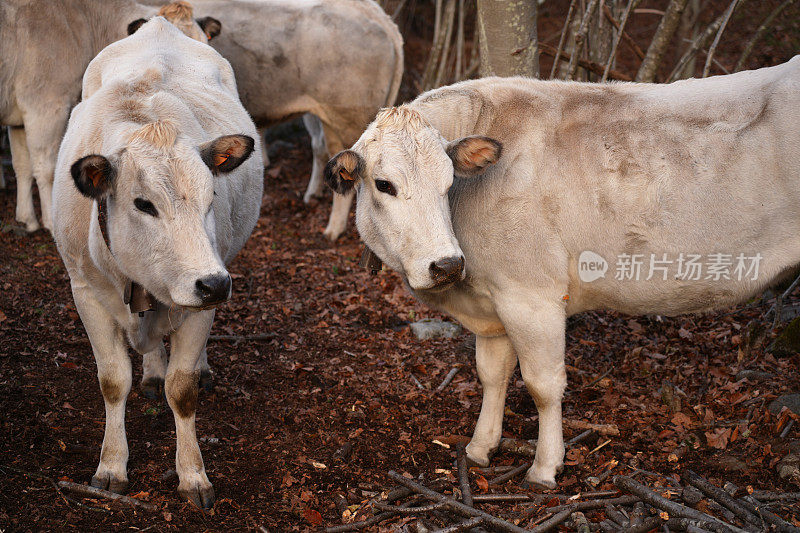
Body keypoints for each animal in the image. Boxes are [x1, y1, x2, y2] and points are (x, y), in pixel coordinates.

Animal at [53, 16, 260, 508]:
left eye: (212, 196)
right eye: (143, 204)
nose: (215, 284)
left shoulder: (200, 299)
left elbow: (181, 389)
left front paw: (193, 474)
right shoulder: (85, 292)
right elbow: (113, 380)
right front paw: (111, 466)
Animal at [324, 57, 800, 486]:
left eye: (448, 182)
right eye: (384, 184)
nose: (447, 264)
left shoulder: (531, 295)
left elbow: (542, 385)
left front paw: (544, 467)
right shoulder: (494, 302)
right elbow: (492, 374)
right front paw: (480, 447)